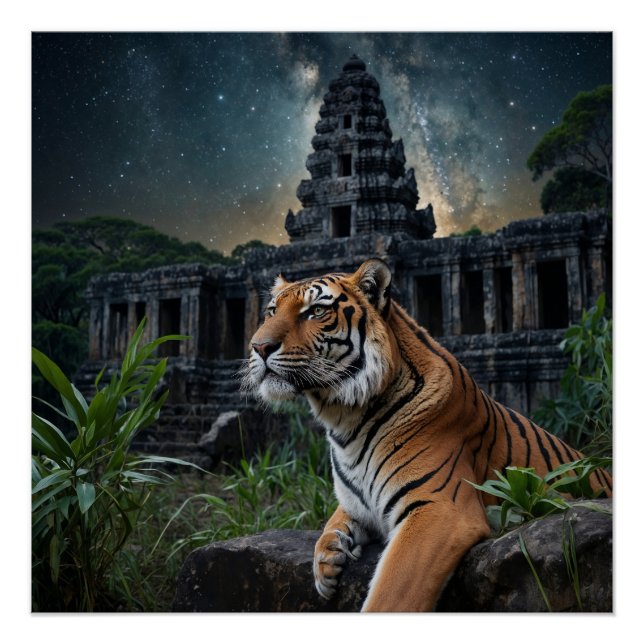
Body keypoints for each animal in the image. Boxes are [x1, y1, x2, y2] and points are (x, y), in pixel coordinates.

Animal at [242, 258, 612, 612]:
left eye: (316, 311)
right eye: (271, 311)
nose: (258, 346)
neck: (345, 419)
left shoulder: (439, 508)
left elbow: (390, 597)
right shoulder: (356, 502)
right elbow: (332, 521)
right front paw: (326, 564)